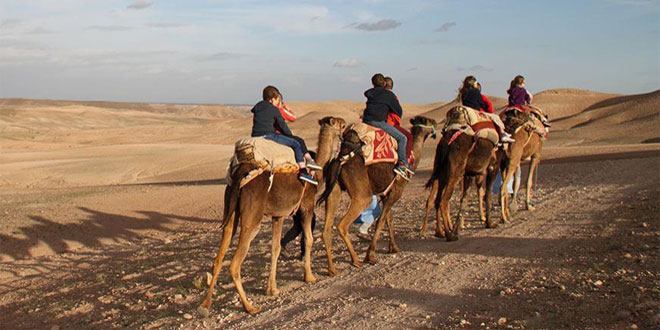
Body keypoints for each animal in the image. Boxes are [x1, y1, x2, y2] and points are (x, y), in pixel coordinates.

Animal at [199, 116, 346, 314]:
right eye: (341, 124)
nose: (346, 130)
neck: (318, 170)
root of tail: (241, 172)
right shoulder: (306, 206)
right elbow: (308, 239)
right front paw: (310, 277)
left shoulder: (279, 215)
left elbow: (275, 248)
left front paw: (272, 289)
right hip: (252, 218)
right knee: (235, 263)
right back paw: (249, 307)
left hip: (230, 210)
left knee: (219, 255)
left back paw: (205, 304)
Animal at [318, 114, 438, 274]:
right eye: (429, 121)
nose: (436, 124)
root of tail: (340, 160)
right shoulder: (397, 190)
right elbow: (381, 221)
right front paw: (371, 255)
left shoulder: (385, 193)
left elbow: (389, 219)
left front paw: (394, 247)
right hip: (363, 196)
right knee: (342, 225)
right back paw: (355, 260)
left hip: (334, 191)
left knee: (327, 229)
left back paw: (332, 270)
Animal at [422, 107, 500, 241]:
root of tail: (445, 142)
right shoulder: (492, 168)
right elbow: (488, 195)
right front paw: (489, 223)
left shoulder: (469, 174)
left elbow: (464, 199)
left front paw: (457, 228)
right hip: (455, 173)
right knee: (443, 201)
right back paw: (449, 235)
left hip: (441, 173)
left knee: (436, 200)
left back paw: (440, 232)